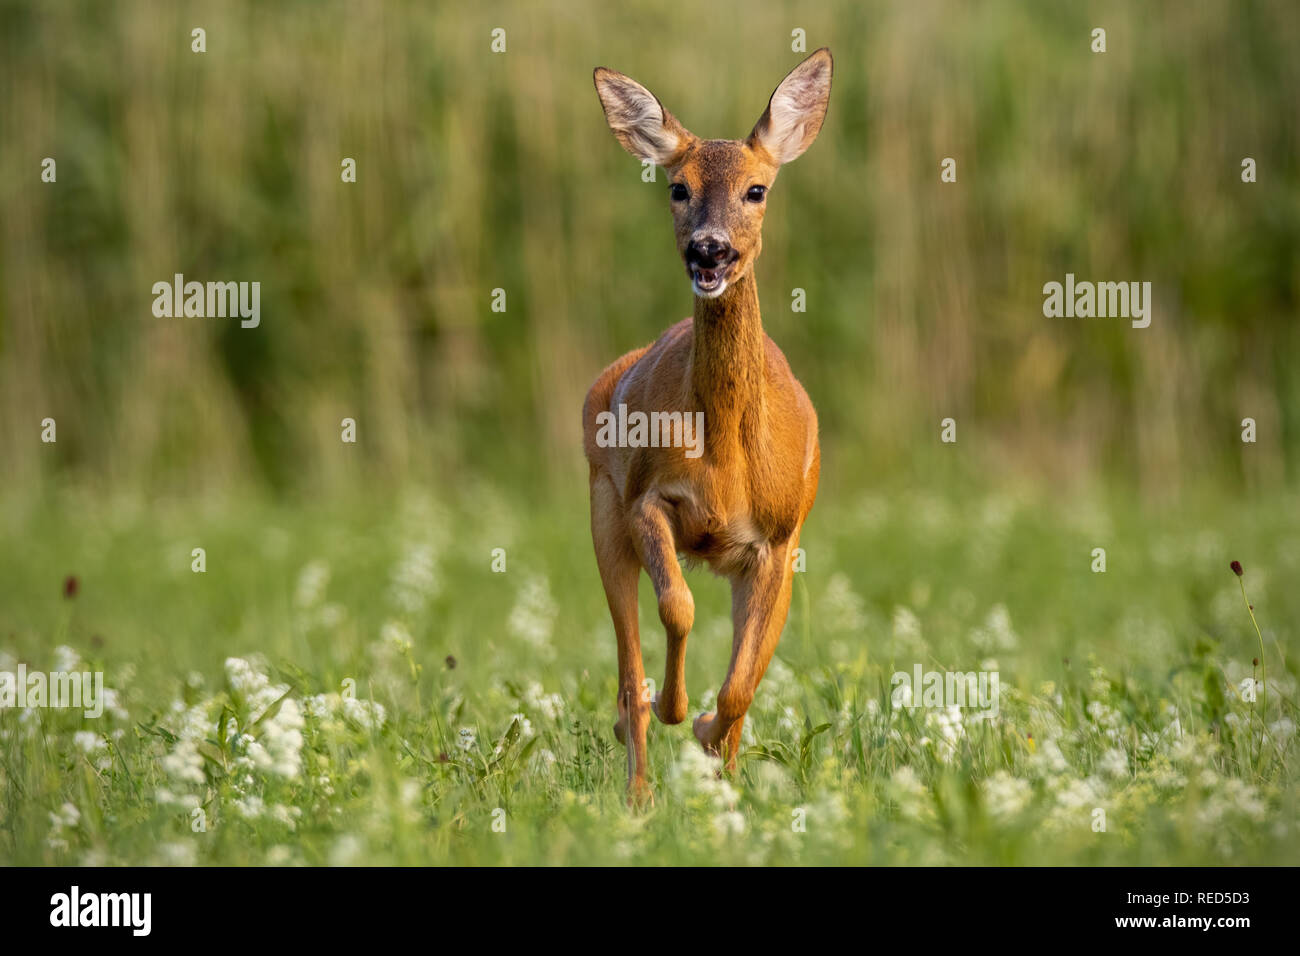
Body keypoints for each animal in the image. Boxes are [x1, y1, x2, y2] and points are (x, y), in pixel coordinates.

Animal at [585, 48, 826, 806]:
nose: (709, 251)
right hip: (602, 510)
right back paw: (638, 788)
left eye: (757, 189)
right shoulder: (645, 500)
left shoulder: (778, 539)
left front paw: (708, 735)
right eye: (677, 187)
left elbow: (744, 683)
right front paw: (678, 710)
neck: (723, 453)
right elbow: (678, 608)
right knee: (627, 669)